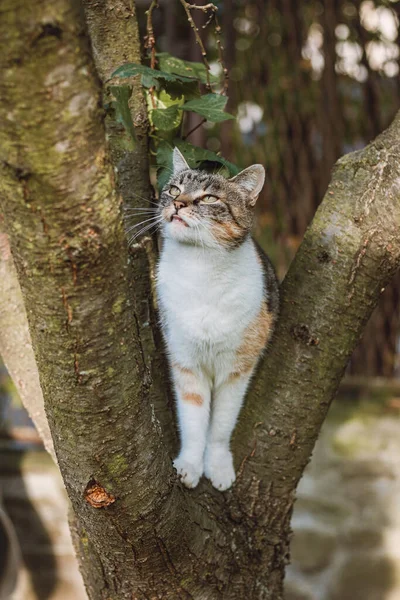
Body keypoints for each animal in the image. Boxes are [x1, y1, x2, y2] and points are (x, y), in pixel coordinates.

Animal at [155, 148, 280, 490]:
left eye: (209, 198)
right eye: (174, 190)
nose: (178, 204)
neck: (200, 268)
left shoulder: (236, 369)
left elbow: (221, 425)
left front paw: (219, 467)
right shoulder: (186, 363)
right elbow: (193, 422)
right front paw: (189, 466)